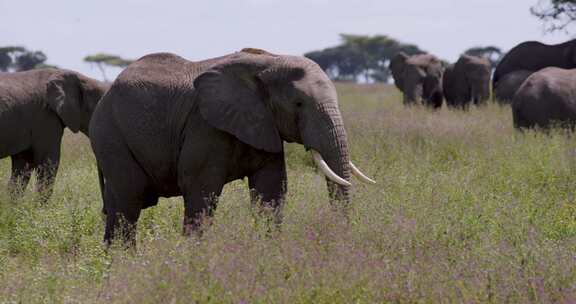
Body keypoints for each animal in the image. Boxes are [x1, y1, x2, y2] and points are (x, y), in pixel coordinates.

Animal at [90, 49, 376, 245]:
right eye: (298, 104)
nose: (340, 238)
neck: (269, 61)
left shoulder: (264, 125)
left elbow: (271, 190)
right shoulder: (204, 126)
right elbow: (201, 190)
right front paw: (193, 260)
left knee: (117, 204)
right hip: (110, 135)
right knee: (129, 200)